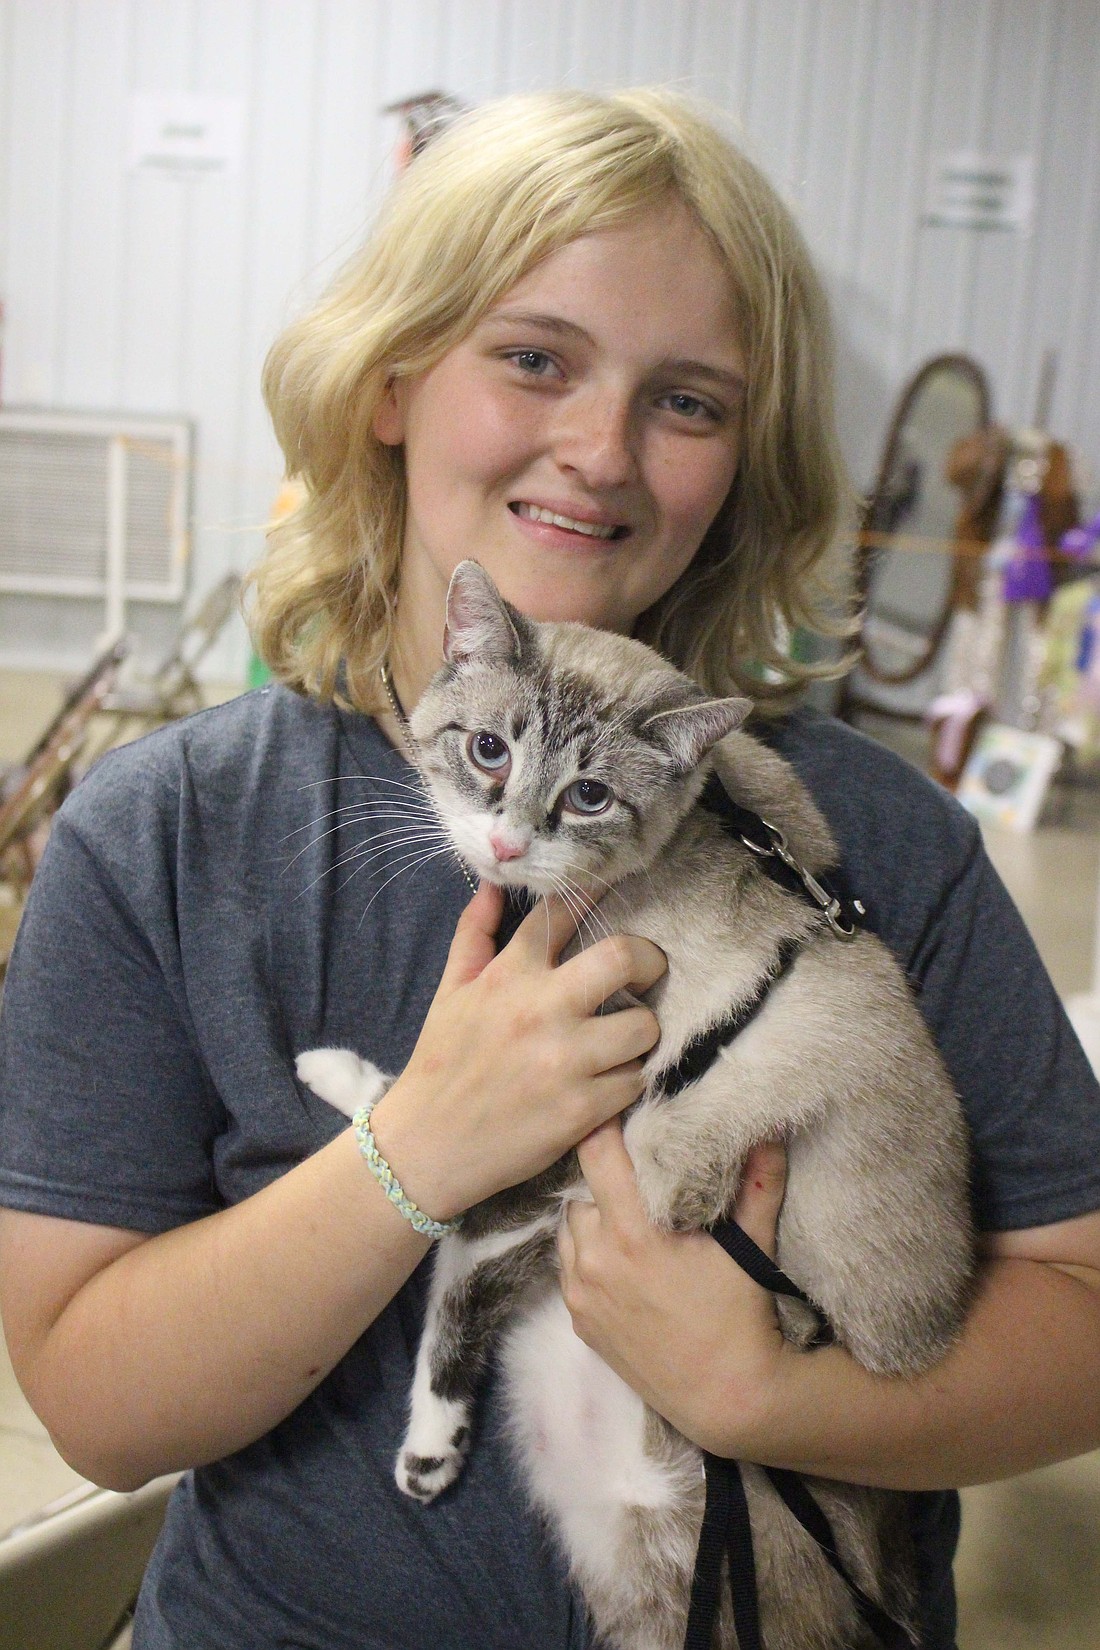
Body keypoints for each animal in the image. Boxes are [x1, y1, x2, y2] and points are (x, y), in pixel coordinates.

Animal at [296, 564, 976, 1650]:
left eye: (588, 797)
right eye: (487, 749)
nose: (505, 843)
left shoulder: (580, 1127)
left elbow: (438, 1186)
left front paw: (341, 1078)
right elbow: (452, 1233)